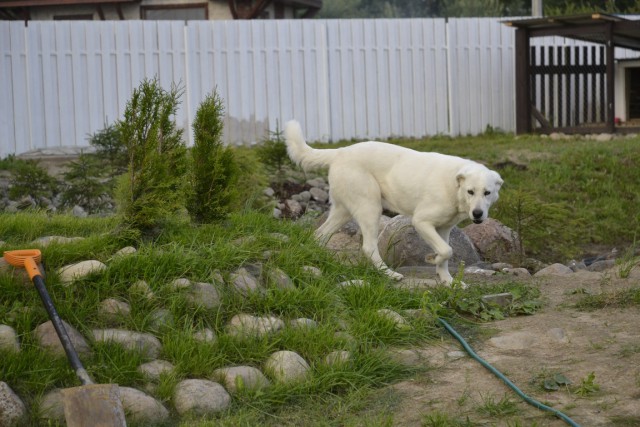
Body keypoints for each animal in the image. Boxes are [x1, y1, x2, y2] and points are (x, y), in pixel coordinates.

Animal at [282, 120, 502, 286]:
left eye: (487, 193)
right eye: (470, 191)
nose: (477, 214)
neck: (454, 186)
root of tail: (340, 151)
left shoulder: (444, 228)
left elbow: (446, 254)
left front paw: (447, 281)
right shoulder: (421, 222)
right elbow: (447, 251)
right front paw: (431, 259)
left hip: (343, 211)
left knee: (319, 235)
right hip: (370, 208)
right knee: (368, 247)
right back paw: (388, 274)